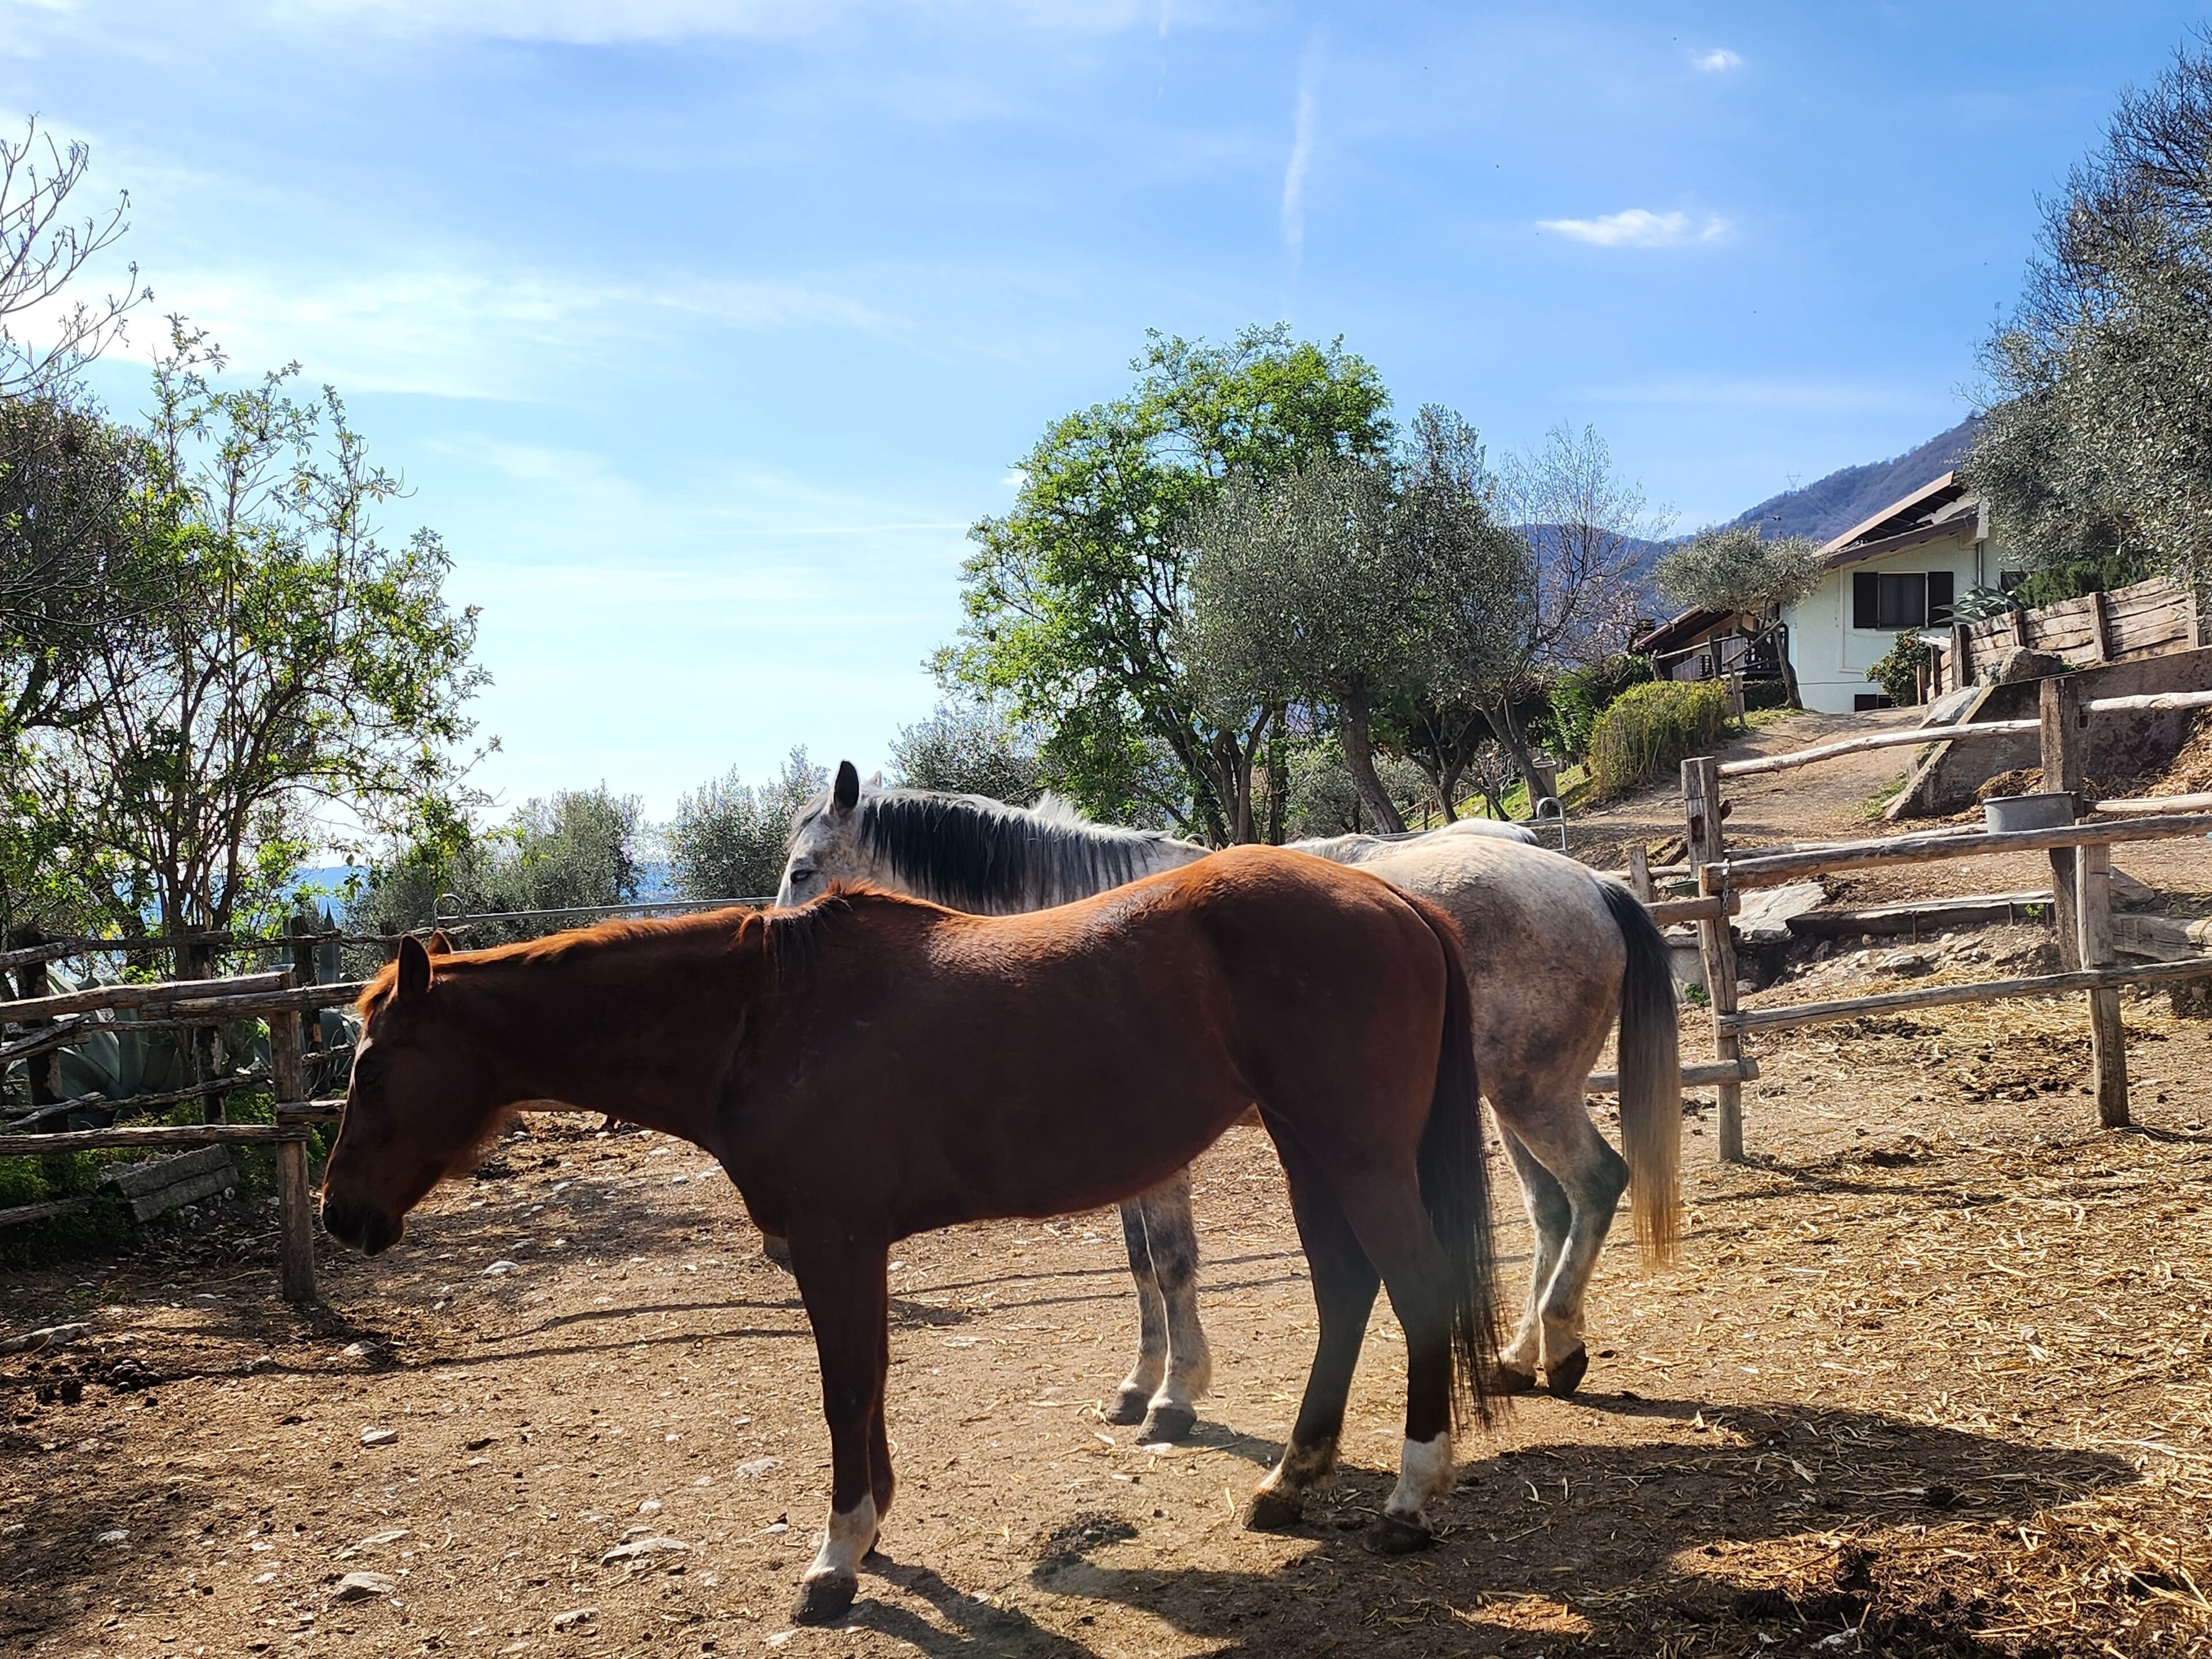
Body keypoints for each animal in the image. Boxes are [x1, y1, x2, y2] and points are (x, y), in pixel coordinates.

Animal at [319, 846, 1502, 1624]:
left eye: (371, 1070)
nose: (341, 1216)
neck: (760, 1022)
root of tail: (1395, 897)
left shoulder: (834, 1243)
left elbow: (846, 1391)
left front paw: (838, 1557)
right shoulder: (852, 1248)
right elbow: (871, 1387)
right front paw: (870, 1531)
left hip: (1355, 1153)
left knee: (1414, 1288)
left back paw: (1407, 1497)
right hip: (1309, 1149)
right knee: (1347, 1290)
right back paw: (1291, 1481)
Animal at [779, 762, 1680, 1438]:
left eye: (801, 870)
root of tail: (1591, 882)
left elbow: (1173, 1261)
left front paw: (1175, 1397)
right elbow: (1141, 1264)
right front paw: (1138, 1385)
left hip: (1533, 1096)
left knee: (1597, 1184)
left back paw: (1560, 1345)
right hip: (1506, 1099)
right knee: (1552, 1210)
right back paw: (1523, 1356)